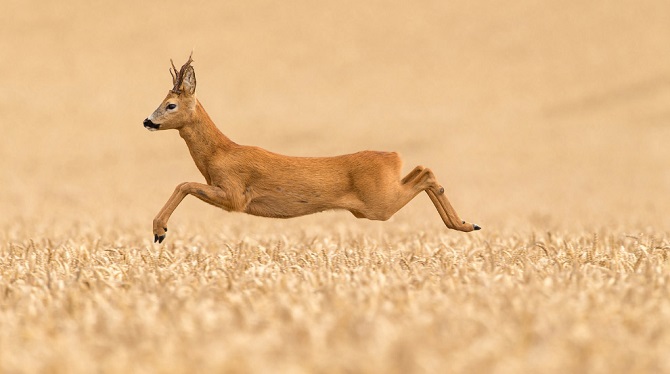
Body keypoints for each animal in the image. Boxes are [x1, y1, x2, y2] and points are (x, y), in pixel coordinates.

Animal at [144, 54, 480, 244]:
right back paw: (466, 224)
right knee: (422, 169)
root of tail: (392, 156)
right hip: (376, 200)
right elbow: (184, 184)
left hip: (378, 205)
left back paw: (466, 224)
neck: (219, 154)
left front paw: (160, 231)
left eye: (170, 105)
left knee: (425, 173)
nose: (147, 121)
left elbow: (184, 184)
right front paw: (159, 231)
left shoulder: (235, 194)